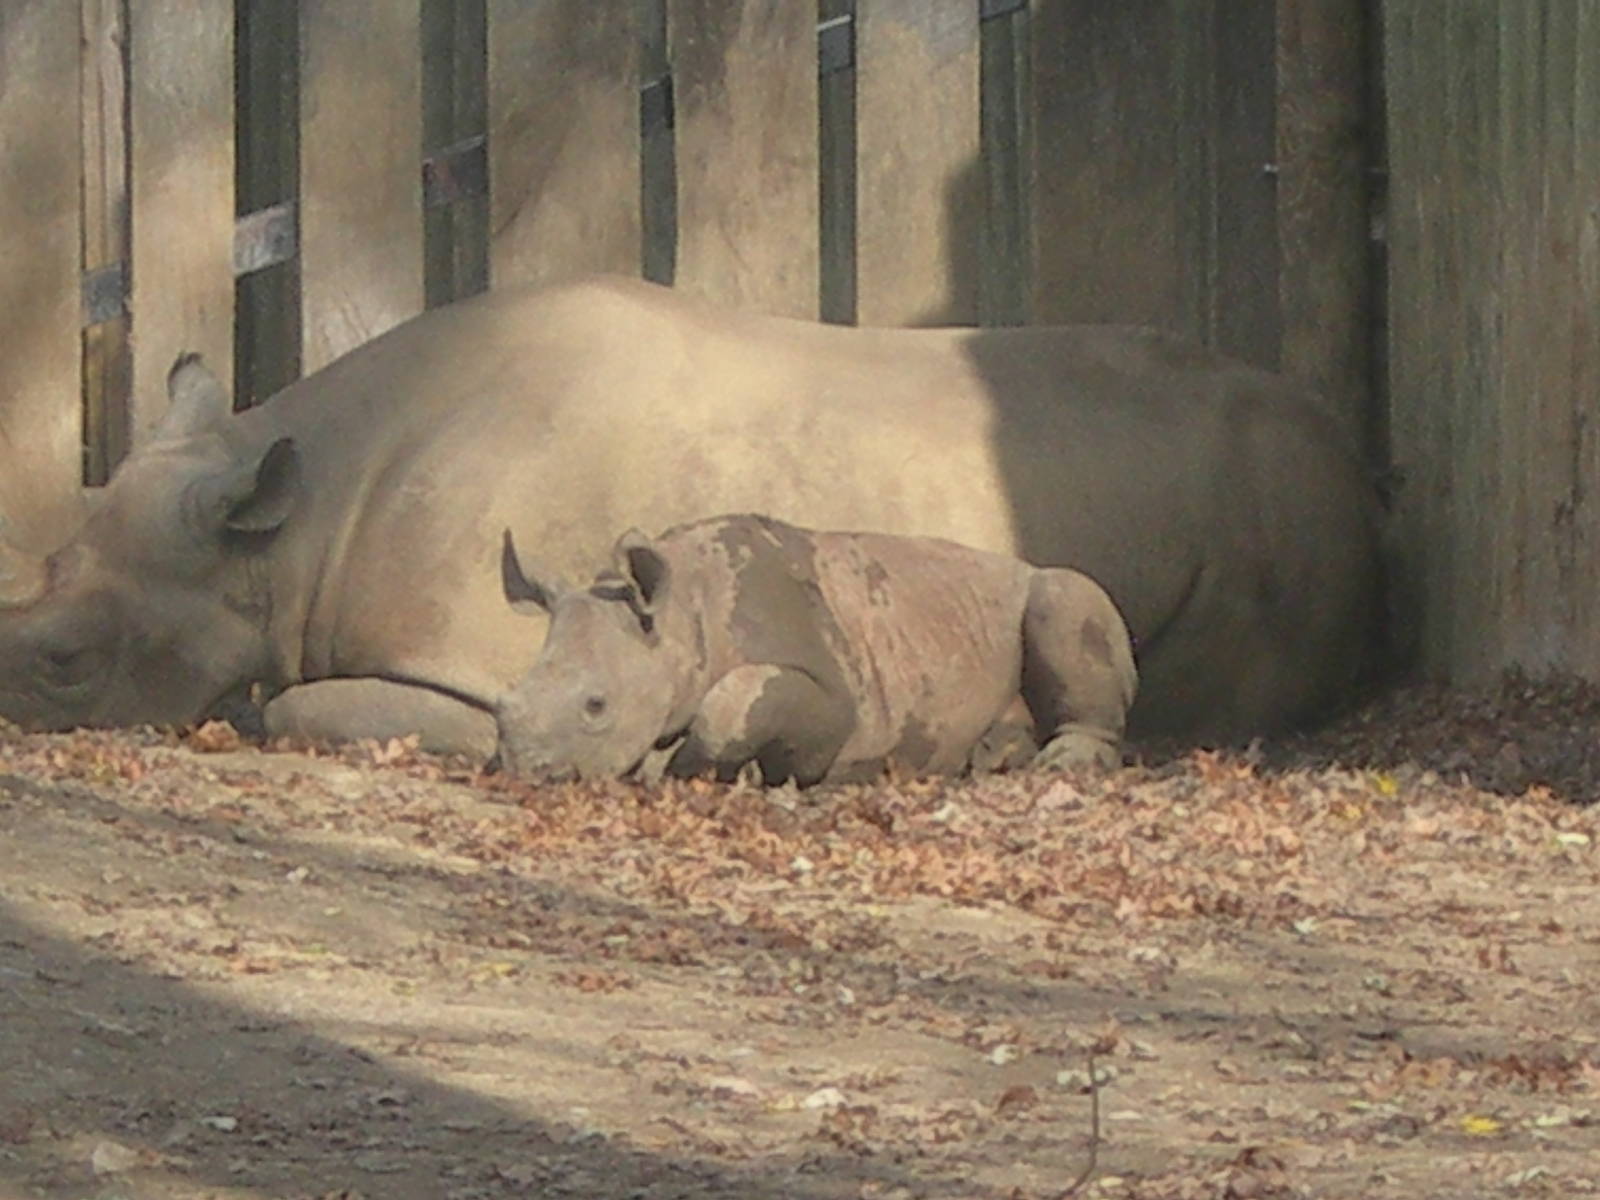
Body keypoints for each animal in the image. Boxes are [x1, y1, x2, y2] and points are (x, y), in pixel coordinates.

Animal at [0, 275, 1381, 757]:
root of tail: (1360, 461)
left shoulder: (471, 654)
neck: (288, 532)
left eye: (65, 664)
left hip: (1277, 514)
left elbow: (301, 708)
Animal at [495, 515, 1138, 785]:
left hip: (1051, 590)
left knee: (1064, 595)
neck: (682, 615)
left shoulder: (835, 695)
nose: (521, 770)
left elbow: (741, 700)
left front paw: (697, 769)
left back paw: (1060, 763)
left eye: (596, 706)